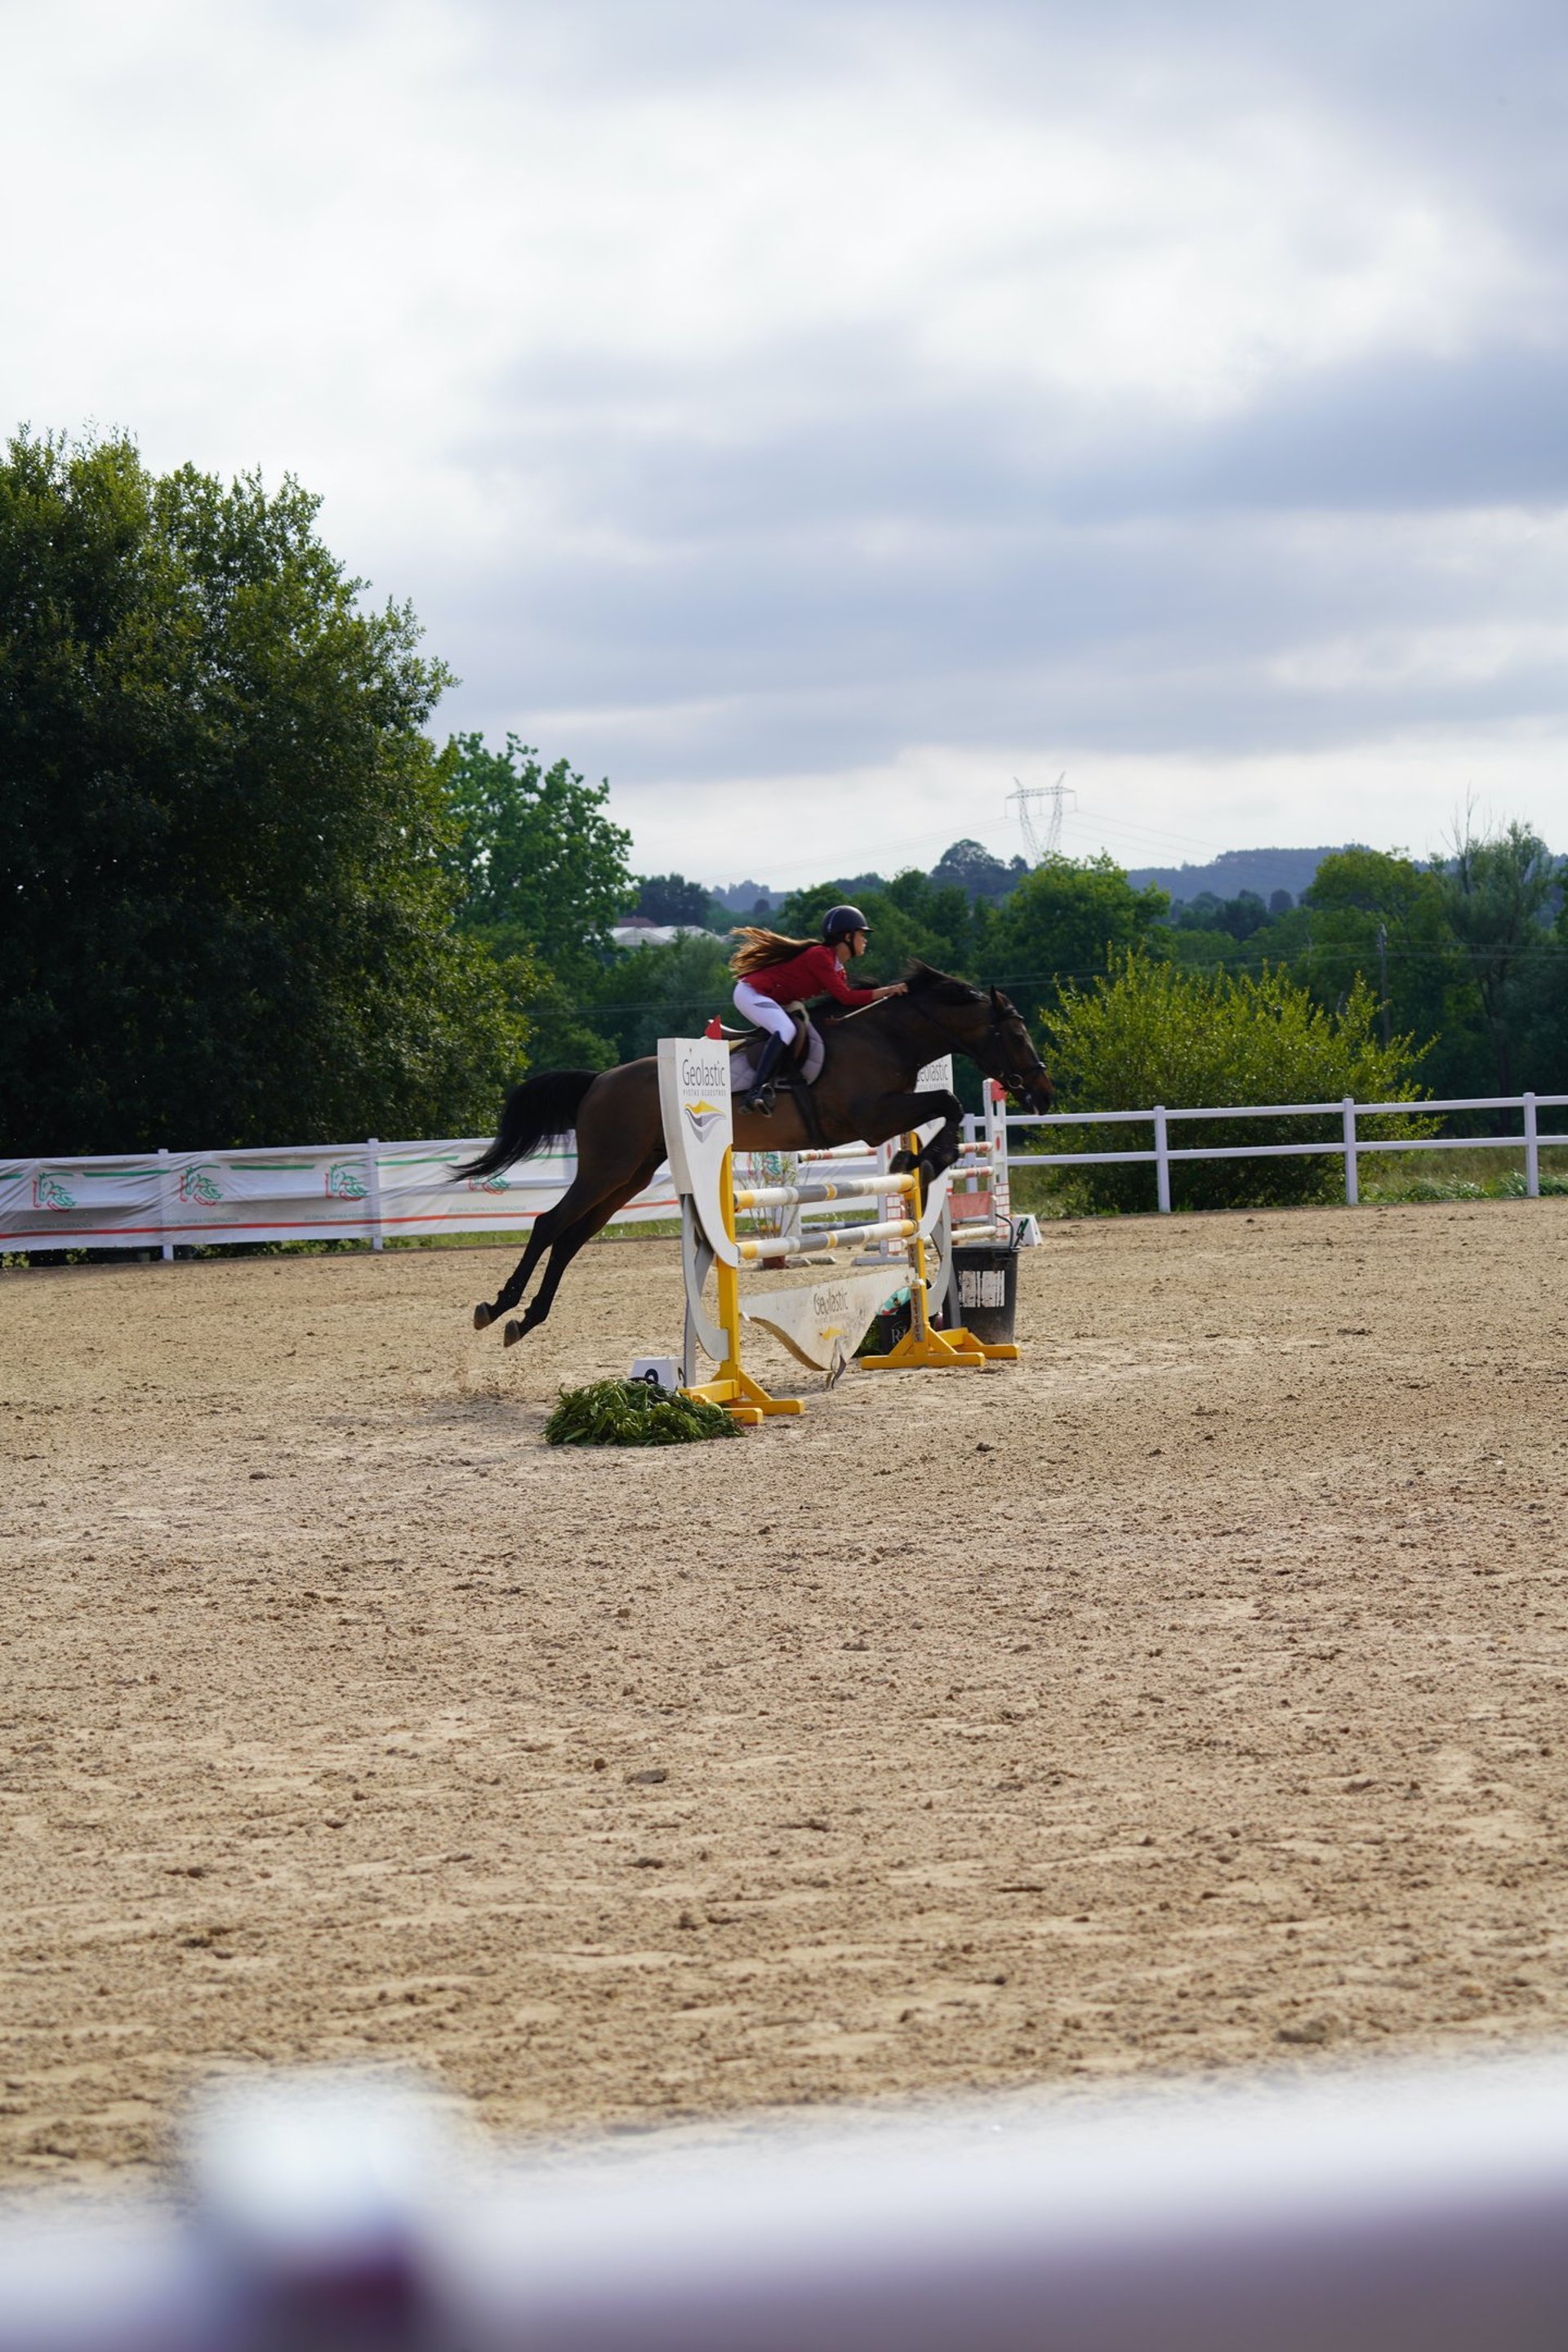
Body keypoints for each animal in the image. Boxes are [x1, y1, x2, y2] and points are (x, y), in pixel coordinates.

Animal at [460, 962, 1054, 1345]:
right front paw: (921, 1160)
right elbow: (949, 1102)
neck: (887, 1037)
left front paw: (920, 1161)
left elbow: (946, 1107)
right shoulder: (869, 1117)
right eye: (1016, 1036)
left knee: (571, 1238)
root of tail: (599, 1082)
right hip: (608, 1166)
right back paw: (497, 1306)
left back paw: (527, 1319)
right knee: (548, 1223)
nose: (1043, 1096)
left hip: (630, 1175)